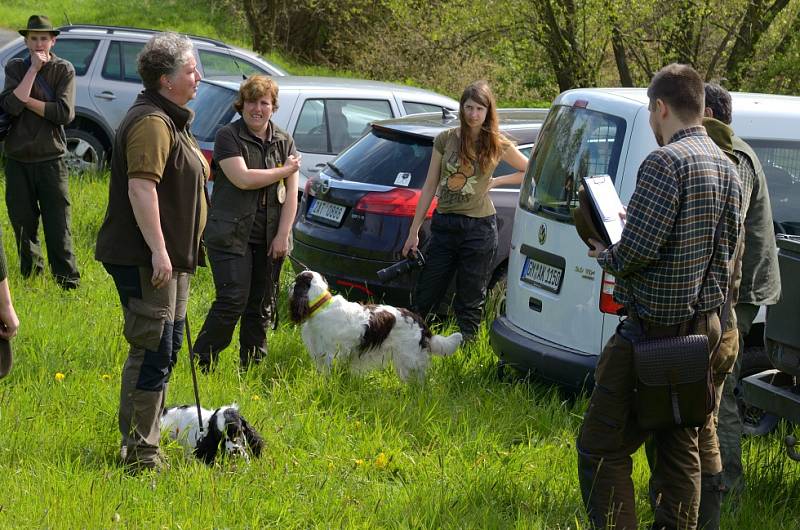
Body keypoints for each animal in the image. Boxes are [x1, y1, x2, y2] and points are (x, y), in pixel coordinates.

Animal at [290, 270, 462, 378]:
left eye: (295, 281)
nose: (290, 285)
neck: (322, 305)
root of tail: (419, 320)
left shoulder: (330, 351)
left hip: (409, 356)